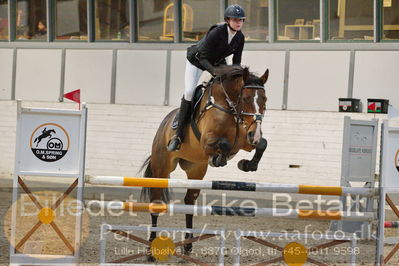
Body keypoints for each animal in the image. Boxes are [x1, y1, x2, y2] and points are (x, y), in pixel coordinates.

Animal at [140, 65, 268, 256]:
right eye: (245, 98)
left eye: (264, 99)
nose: (256, 133)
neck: (229, 107)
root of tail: (164, 124)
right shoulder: (207, 141)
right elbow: (223, 144)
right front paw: (219, 159)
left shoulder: (244, 140)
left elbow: (261, 144)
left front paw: (247, 164)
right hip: (161, 169)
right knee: (156, 202)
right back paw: (151, 249)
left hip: (196, 170)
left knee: (189, 201)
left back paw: (187, 245)